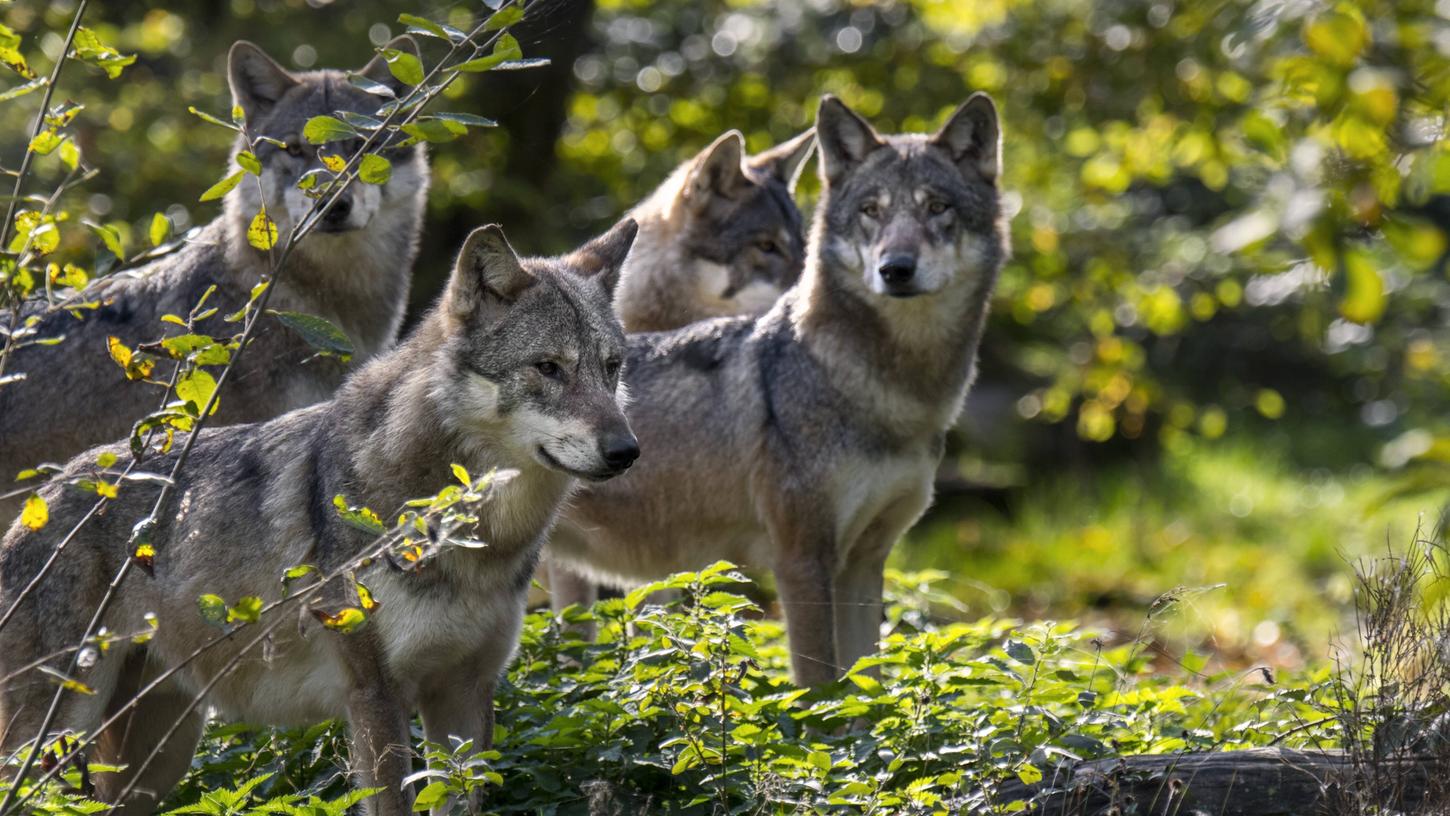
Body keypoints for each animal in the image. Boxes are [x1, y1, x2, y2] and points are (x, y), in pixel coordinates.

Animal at [0, 218, 640, 816]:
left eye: (611, 367)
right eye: (548, 368)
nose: (626, 451)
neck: (475, 540)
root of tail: (40, 498)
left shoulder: (466, 692)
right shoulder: (374, 694)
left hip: (154, 761)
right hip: (53, 738)